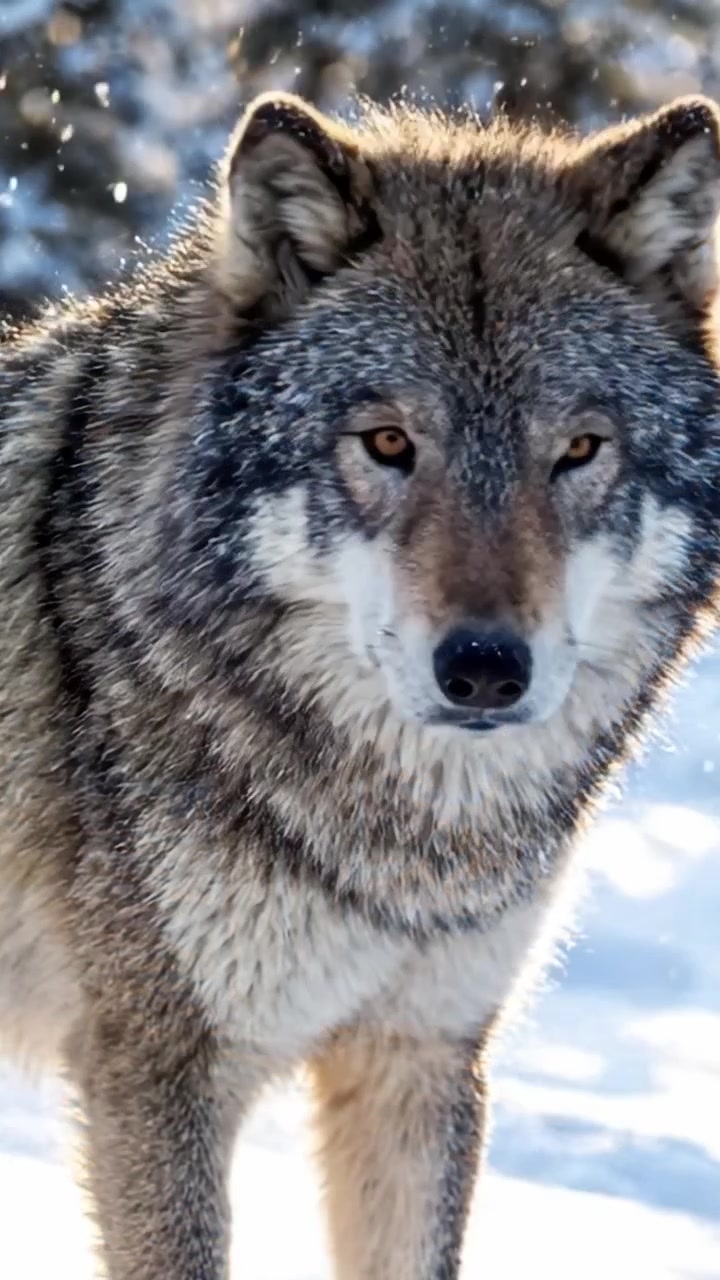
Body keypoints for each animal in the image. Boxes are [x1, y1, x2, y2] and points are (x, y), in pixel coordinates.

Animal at [0, 85, 719, 1278]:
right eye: (387, 442)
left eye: (578, 451)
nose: (485, 668)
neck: (408, 843)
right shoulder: (156, 1066)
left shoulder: (422, 1054)